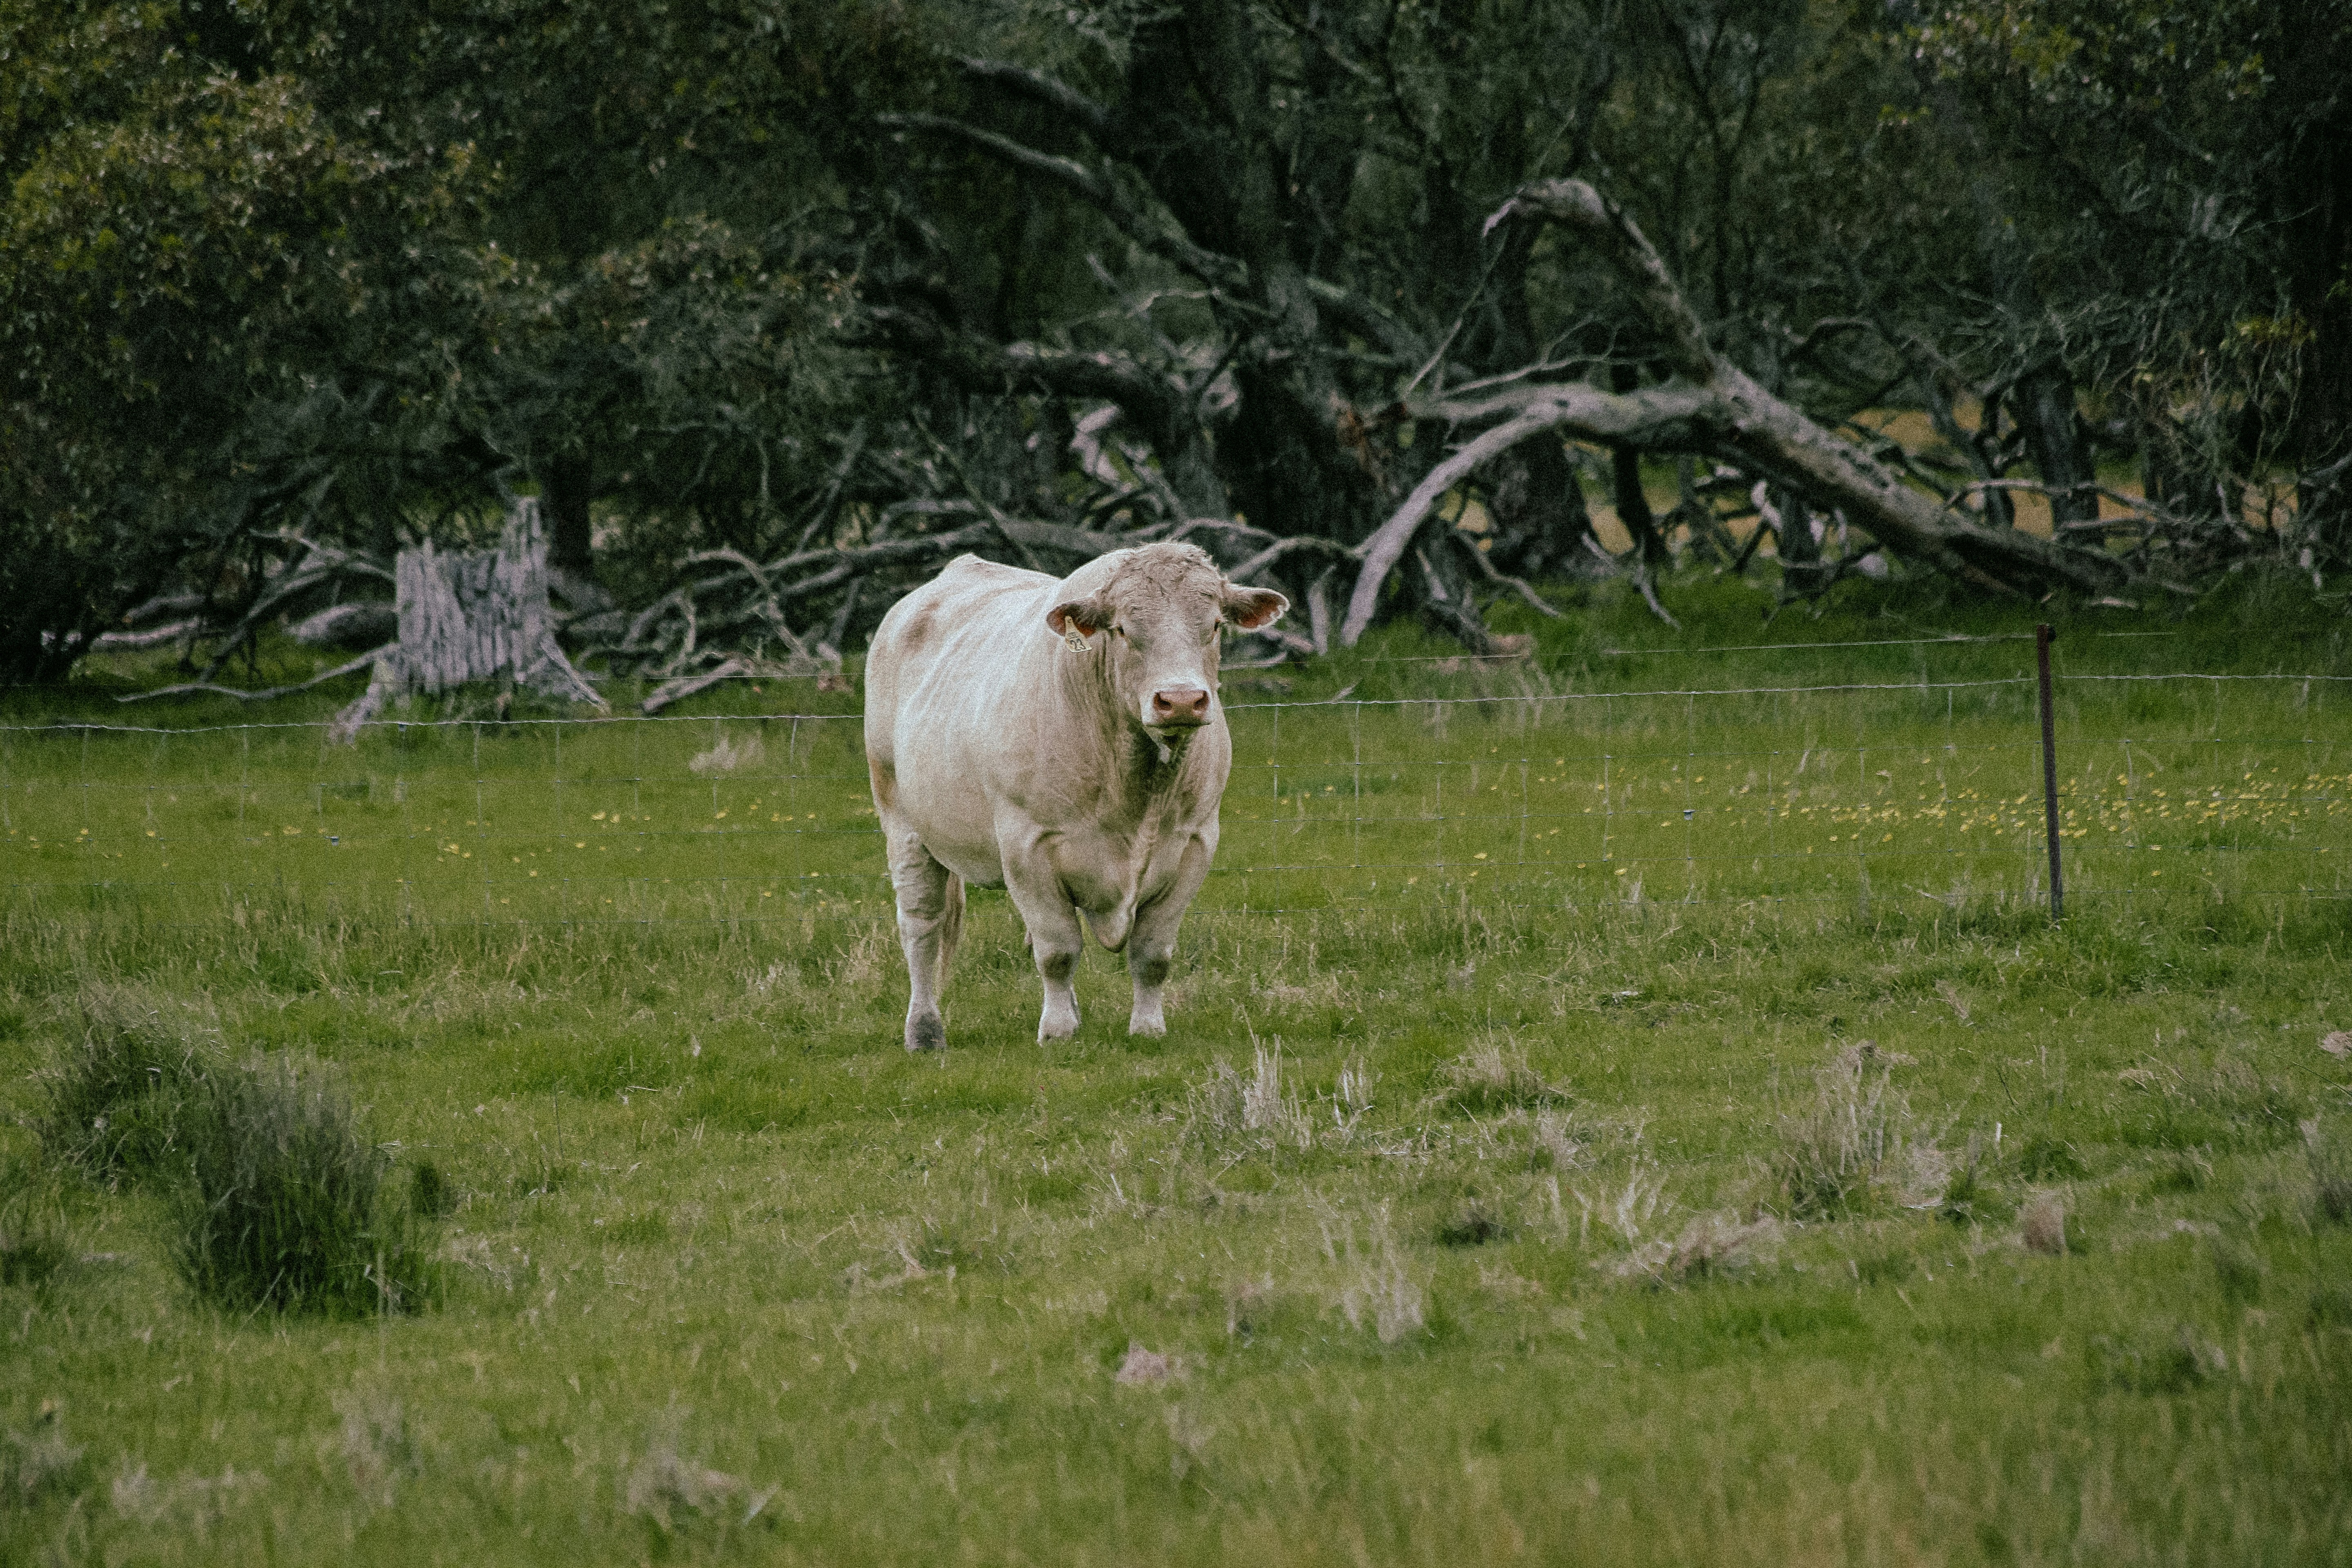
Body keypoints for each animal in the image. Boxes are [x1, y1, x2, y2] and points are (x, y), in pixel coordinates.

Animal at [863, 542, 1287, 1050]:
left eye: (1217, 625)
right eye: (1123, 629)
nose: (1181, 700)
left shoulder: (1196, 842)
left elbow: (1153, 955)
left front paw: (1147, 1028)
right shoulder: (1027, 845)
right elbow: (1057, 950)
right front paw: (1058, 1031)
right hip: (901, 821)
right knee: (922, 925)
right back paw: (924, 1030)